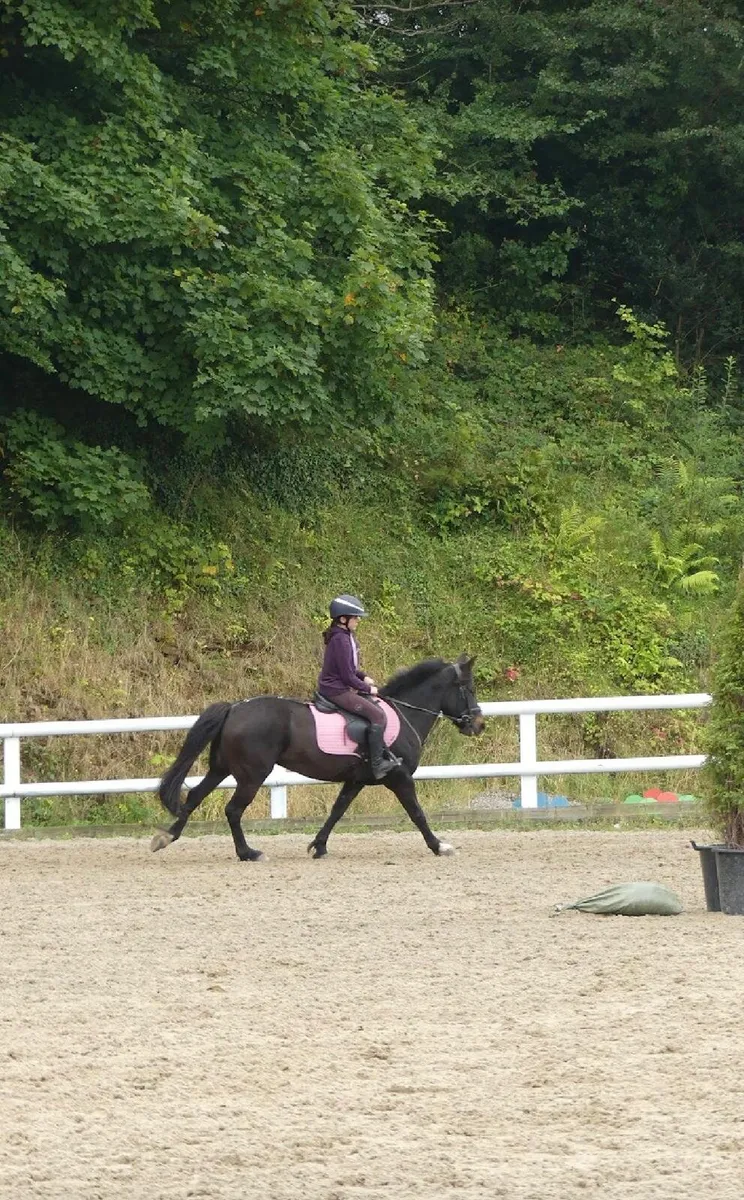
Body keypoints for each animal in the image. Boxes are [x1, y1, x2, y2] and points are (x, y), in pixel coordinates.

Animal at [151, 654, 485, 861]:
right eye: (468, 688)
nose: (479, 725)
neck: (404, 714)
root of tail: (235, 707)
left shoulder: (356, 780)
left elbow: (337, 810)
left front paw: (319, 846)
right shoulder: (399, 778)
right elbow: (417, 813)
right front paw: (439, 846)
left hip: (222, 768)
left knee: (194, 796)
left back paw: (167, 837)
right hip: (252, 774)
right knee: (233, 810)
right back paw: (249, 853)